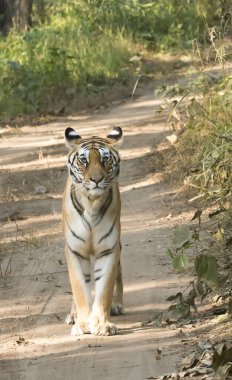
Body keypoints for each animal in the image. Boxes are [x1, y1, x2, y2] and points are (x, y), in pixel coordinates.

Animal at [61, 127, 123, 336]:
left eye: (105, 159)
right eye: (84, 160)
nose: (96, 180)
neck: (91, 204)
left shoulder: (109, 249)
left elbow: (105, 289)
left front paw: (102, 324)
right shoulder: (75, 251)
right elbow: (79, 288)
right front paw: (82, 324)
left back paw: (117, 305)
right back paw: (73, 316)